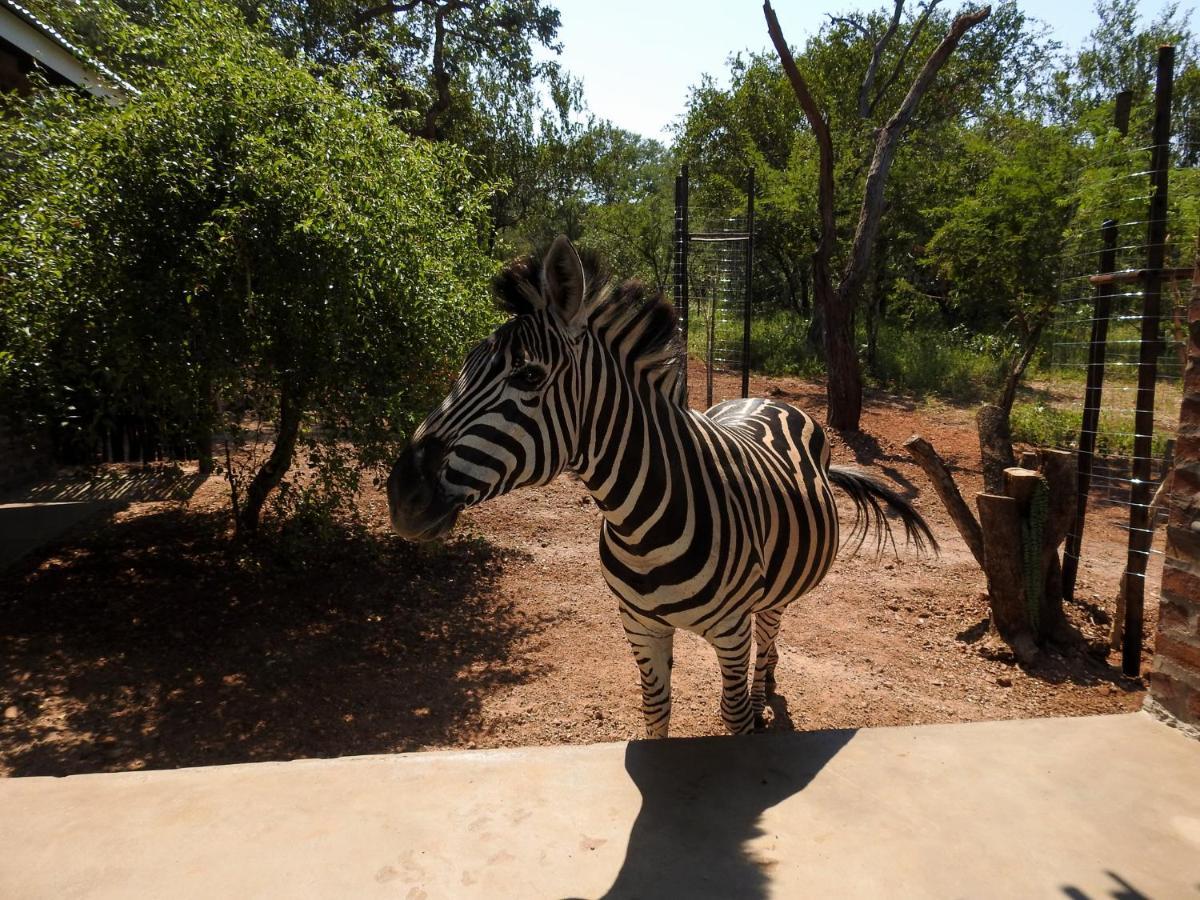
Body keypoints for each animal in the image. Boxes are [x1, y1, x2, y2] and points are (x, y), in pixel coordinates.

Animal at [388, 236, 931, 734]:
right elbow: (655, 710)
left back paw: (764, 693)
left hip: (775, 588)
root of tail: (766, 399)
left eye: (528, 376)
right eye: (463, 367)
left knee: (768, 635)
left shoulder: (731, 631)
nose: (401, 495)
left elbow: (733, 714)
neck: (639, 525)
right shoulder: (639, 625)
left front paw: (748, 718)